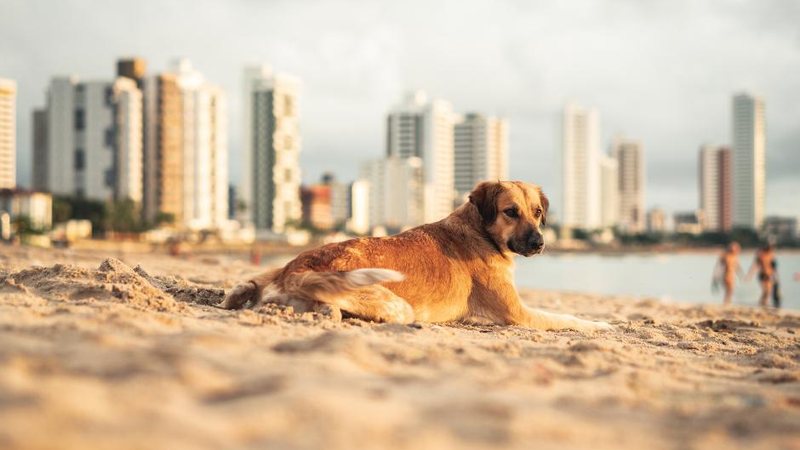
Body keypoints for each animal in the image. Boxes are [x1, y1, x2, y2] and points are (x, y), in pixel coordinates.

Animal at [222, 181, 616, 332]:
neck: (479, 230)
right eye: (510, 212)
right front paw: (600, 323)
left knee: (247, 286)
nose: (539, 243)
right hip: (394, 305)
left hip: (271, 273)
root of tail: (294, 271)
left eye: (537, 212)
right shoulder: (518, 314)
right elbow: (568, 317)